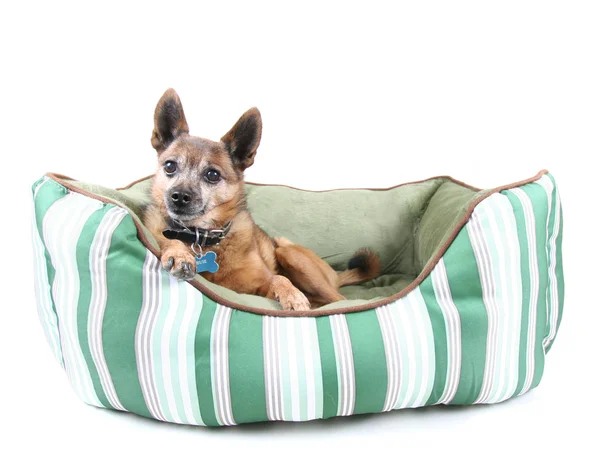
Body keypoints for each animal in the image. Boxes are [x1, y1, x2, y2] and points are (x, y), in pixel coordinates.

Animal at [144, 89, 380, 310]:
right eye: (170, 166)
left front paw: (292, 295)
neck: (201, 237)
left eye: (212, 175)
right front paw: (179, 254)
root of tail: (335, 276)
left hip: (288, 251)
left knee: (340, 299)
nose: (179, 197)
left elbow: (278, 278)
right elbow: (168, 240)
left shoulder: (261, 285)